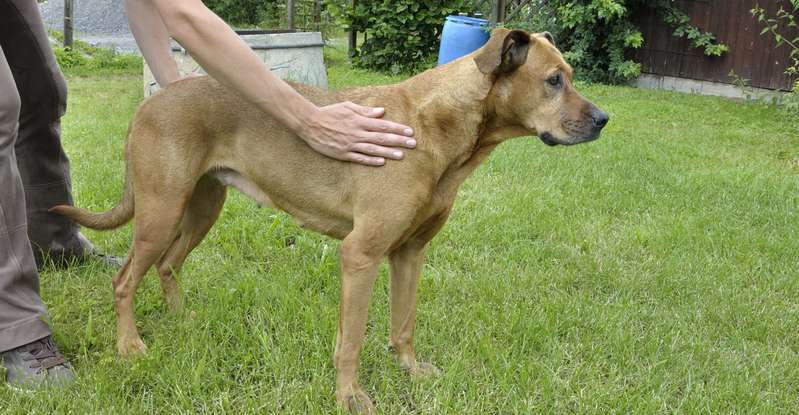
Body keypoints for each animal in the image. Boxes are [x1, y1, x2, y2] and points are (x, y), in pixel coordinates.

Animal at [53, 28, 608, 412]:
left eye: (570, 76)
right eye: (554, 81)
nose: (604, 120)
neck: (435, 126)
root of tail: (150, 103)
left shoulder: (410, 253)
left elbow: (403, 325)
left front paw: (410, 372)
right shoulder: (361, 256)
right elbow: (351, 342)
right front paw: (349, 397)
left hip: (201, 207)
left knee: (168, 265)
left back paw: (181, 320)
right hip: (161, 209)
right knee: (126, 280)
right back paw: (130, 347)